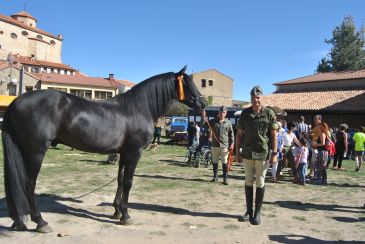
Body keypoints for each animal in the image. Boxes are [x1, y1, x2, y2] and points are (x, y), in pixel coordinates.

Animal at [2, 65, 205, 233]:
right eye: (187, 83)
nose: (202, 104)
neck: (138, 108)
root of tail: (15, 102)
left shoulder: (123, 153)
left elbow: (120, 179)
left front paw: (116, 211)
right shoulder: (135, 152)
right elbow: (128, 182)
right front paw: (125, 215)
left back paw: (18, 222)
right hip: (35, 151)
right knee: (28, 183)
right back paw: (40, 222)